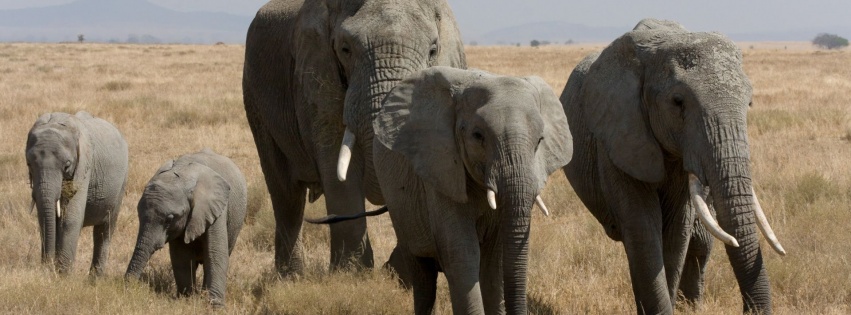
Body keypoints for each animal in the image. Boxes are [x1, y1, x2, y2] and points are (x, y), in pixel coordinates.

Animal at [25, 112, 129, 276]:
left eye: (67, 165)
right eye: (29, 164)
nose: (47, 266)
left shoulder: (84, 165)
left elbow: (70, 219)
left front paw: (62, 275)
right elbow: (46, 218)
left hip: (121, 183)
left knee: (104, 231)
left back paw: (95, 279)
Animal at [125, 149, 248, 308]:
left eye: (169, 219)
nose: (128, 286)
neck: (183, 173)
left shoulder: (216, 208)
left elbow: (216, 253)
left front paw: (215, 307)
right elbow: (181, 256)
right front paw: (186, 299)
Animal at [240, 0, 466, 276]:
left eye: (433, 50)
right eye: (345, 49)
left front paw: (398, 271)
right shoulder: (317, 79)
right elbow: (337, 167)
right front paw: (352, 274)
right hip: (255, 99)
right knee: (286, 194)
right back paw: (291, 277)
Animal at [372, 66, 572, 314]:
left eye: (539, 141)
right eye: (478, 136)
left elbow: (493, 261)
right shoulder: (441, 169)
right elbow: (463, 253)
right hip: (399, 207)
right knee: (422, 276)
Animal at [564, 18, 788, 314]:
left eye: (749, 103)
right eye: (677, 102)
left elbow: (676, 231)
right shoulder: (617, 139)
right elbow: (644, 231)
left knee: (701, 240)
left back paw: (690, 306)